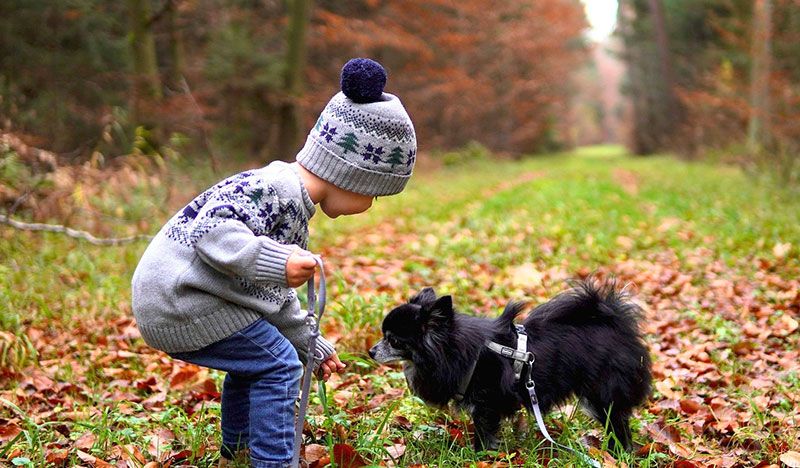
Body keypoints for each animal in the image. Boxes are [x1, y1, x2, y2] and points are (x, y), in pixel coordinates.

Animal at [368, 280, 648, 452]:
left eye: (393, 340)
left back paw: (616, 453)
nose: (371, 351)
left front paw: (480, 456)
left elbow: (484, 435)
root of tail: (616, 323)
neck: (452, 348)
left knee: (618, 425)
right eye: (383, 335)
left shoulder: (485, 405)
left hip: (601, 395)